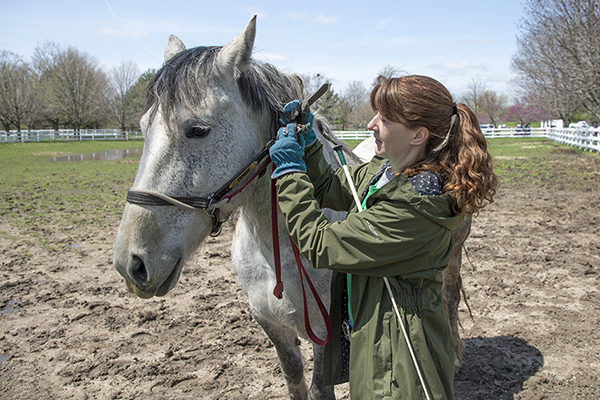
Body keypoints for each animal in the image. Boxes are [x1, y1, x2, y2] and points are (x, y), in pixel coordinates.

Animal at [111, 16, 468, 400]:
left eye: (198, 129)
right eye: (143, 127)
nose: (131, 263)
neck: (276, 254)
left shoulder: (326, 331)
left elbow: (319, 389)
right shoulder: (271, 325)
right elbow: (294, 378)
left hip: (452, 261)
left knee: (449, 297)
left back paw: (453, 358)